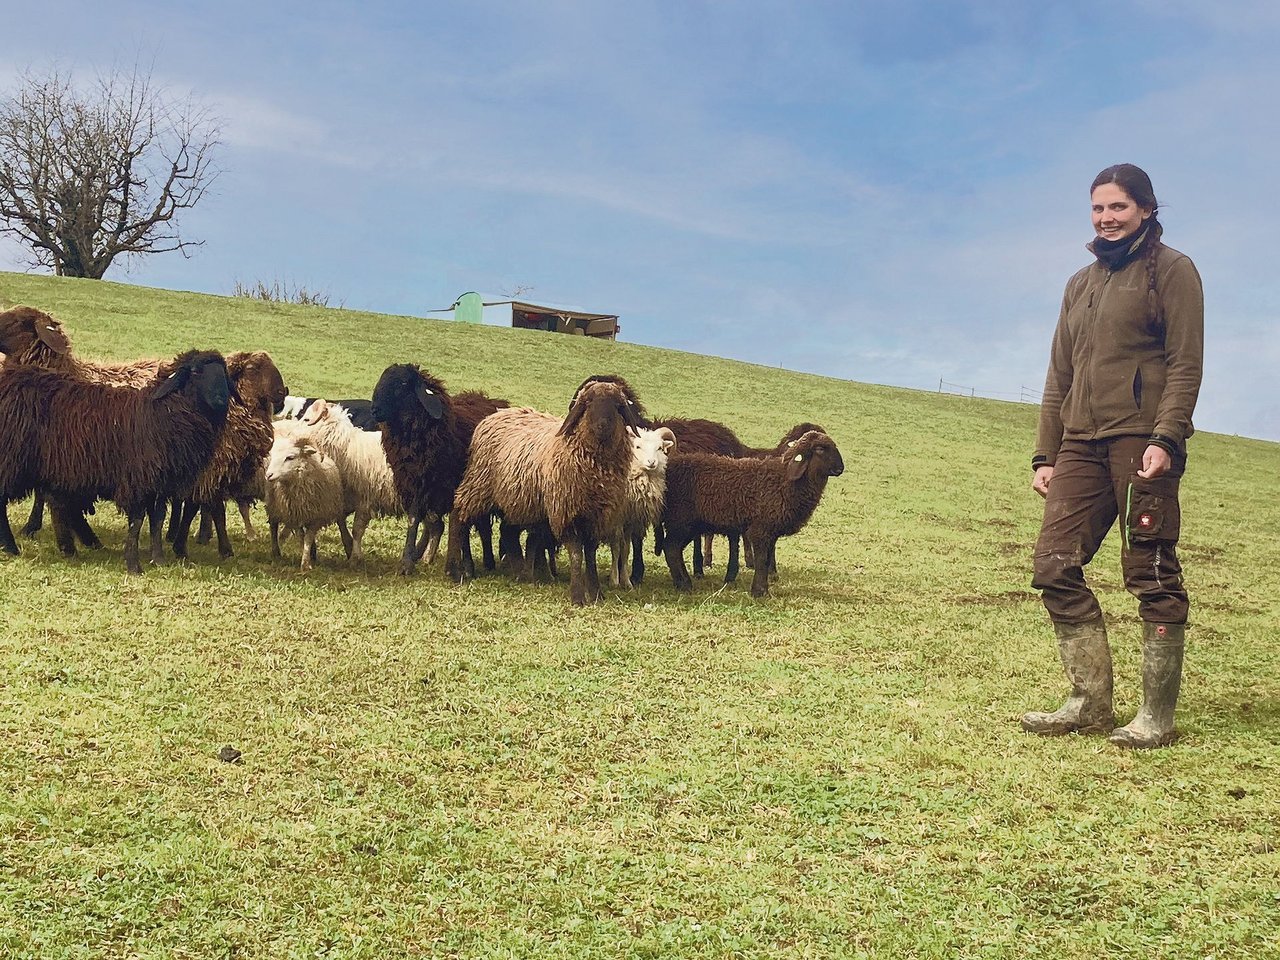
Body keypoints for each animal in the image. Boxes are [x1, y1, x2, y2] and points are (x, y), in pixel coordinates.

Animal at [0, 355, 232, 576]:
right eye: (195, 371)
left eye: (224, 373)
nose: (221, 400)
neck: (161, 412)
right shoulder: (137, 480)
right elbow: (137, 521)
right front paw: (133, 564)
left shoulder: (158, 482)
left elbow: (157, 520)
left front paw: (158, 559)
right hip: (10, 462)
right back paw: (11, 547)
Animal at [263, 422, 345, 570]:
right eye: (272, 456)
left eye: (290, 457)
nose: (269, 475)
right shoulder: (294, 517)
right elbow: (302, 537)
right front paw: (306, 560)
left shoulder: (316, 517)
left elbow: (308, 537)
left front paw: (306, 563)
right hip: (273, 504)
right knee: (273, 525)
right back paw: (276, 552)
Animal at [371, 366, 509, 578]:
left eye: (403, 383)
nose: (374, 409)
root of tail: (488, 399)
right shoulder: (414, 483)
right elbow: (415, 519)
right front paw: (409, 560)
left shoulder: (449, 486)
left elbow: (457, 525)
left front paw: (458, 567)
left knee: (480, 526)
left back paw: (485, 561)